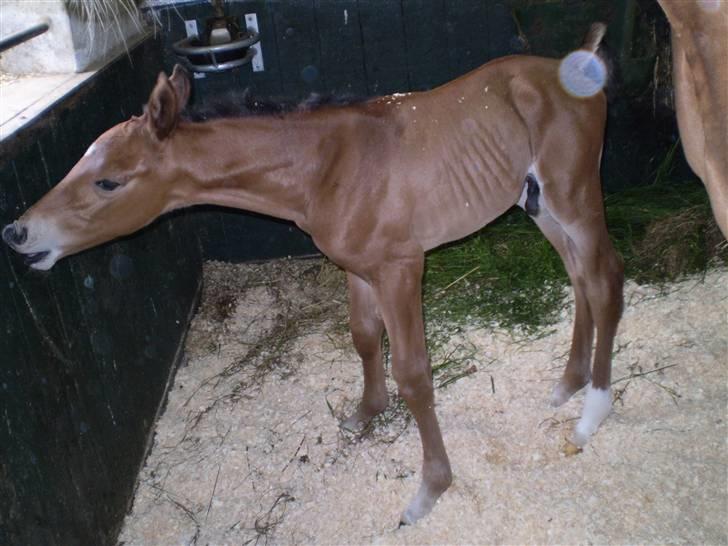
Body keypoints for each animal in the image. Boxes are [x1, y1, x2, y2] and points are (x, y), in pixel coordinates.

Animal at [2, 23, 624, 520]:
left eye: (109, 180)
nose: (18, 233)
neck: (329, 166)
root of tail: (583, 56)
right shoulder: (358, 268)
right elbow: (365, 339)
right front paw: (365, 414)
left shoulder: (401, 268)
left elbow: (414, 374)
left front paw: (430, 490)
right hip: (538, 203)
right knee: (577, 278)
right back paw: (567, 384)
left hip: (575, 193)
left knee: (604, 279)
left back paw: (592, 414)